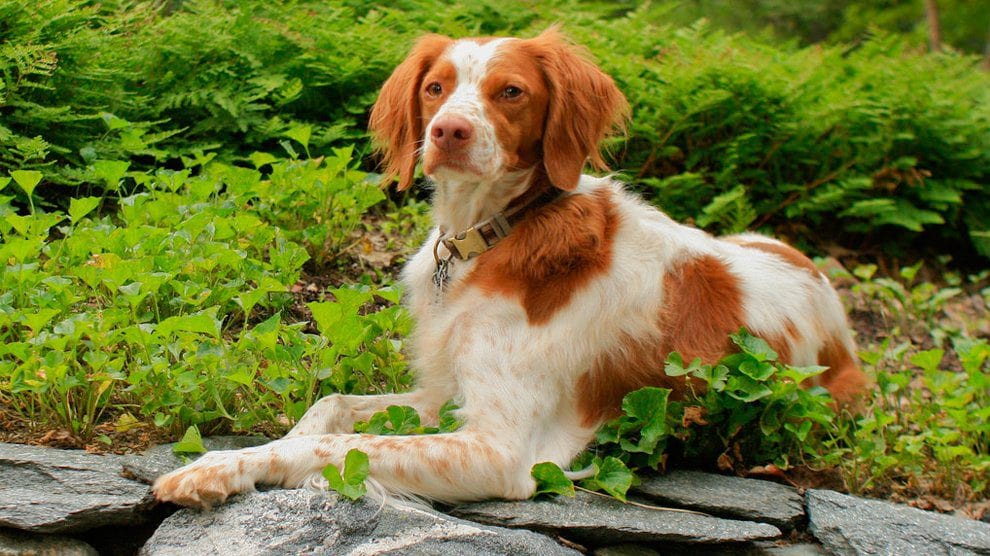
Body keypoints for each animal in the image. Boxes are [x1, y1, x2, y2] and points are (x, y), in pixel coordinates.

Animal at [149, 29, 868, 508]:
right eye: (435, 87)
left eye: (512, 92)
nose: (447, 131)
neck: (492, 238)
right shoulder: (439, 397)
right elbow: (330, 407)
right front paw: (245, 451)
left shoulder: (498, 450)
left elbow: (331, 448)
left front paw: (220, 467)